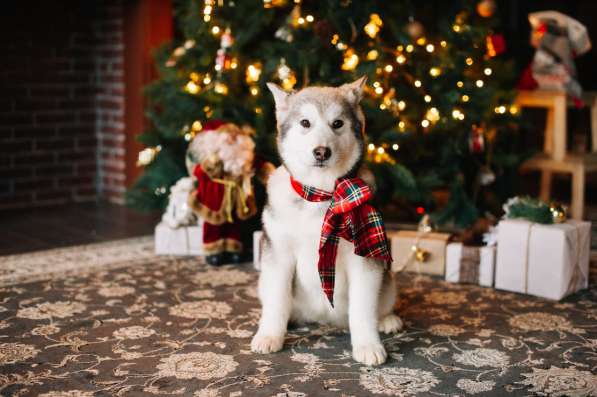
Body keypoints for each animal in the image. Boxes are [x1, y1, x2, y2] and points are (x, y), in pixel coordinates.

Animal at [251, 76, 400, 364]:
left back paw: (388, 319)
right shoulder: (278, 254)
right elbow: (277, 301)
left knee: (382, 303)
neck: (322, 195)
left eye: (337, 123)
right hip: (264, 281)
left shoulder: (364, 259)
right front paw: (269, 335)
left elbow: (363, 309)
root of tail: (322, 319)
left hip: (387, 280)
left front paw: (368, 345)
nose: (322, 151)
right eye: (305, 123)